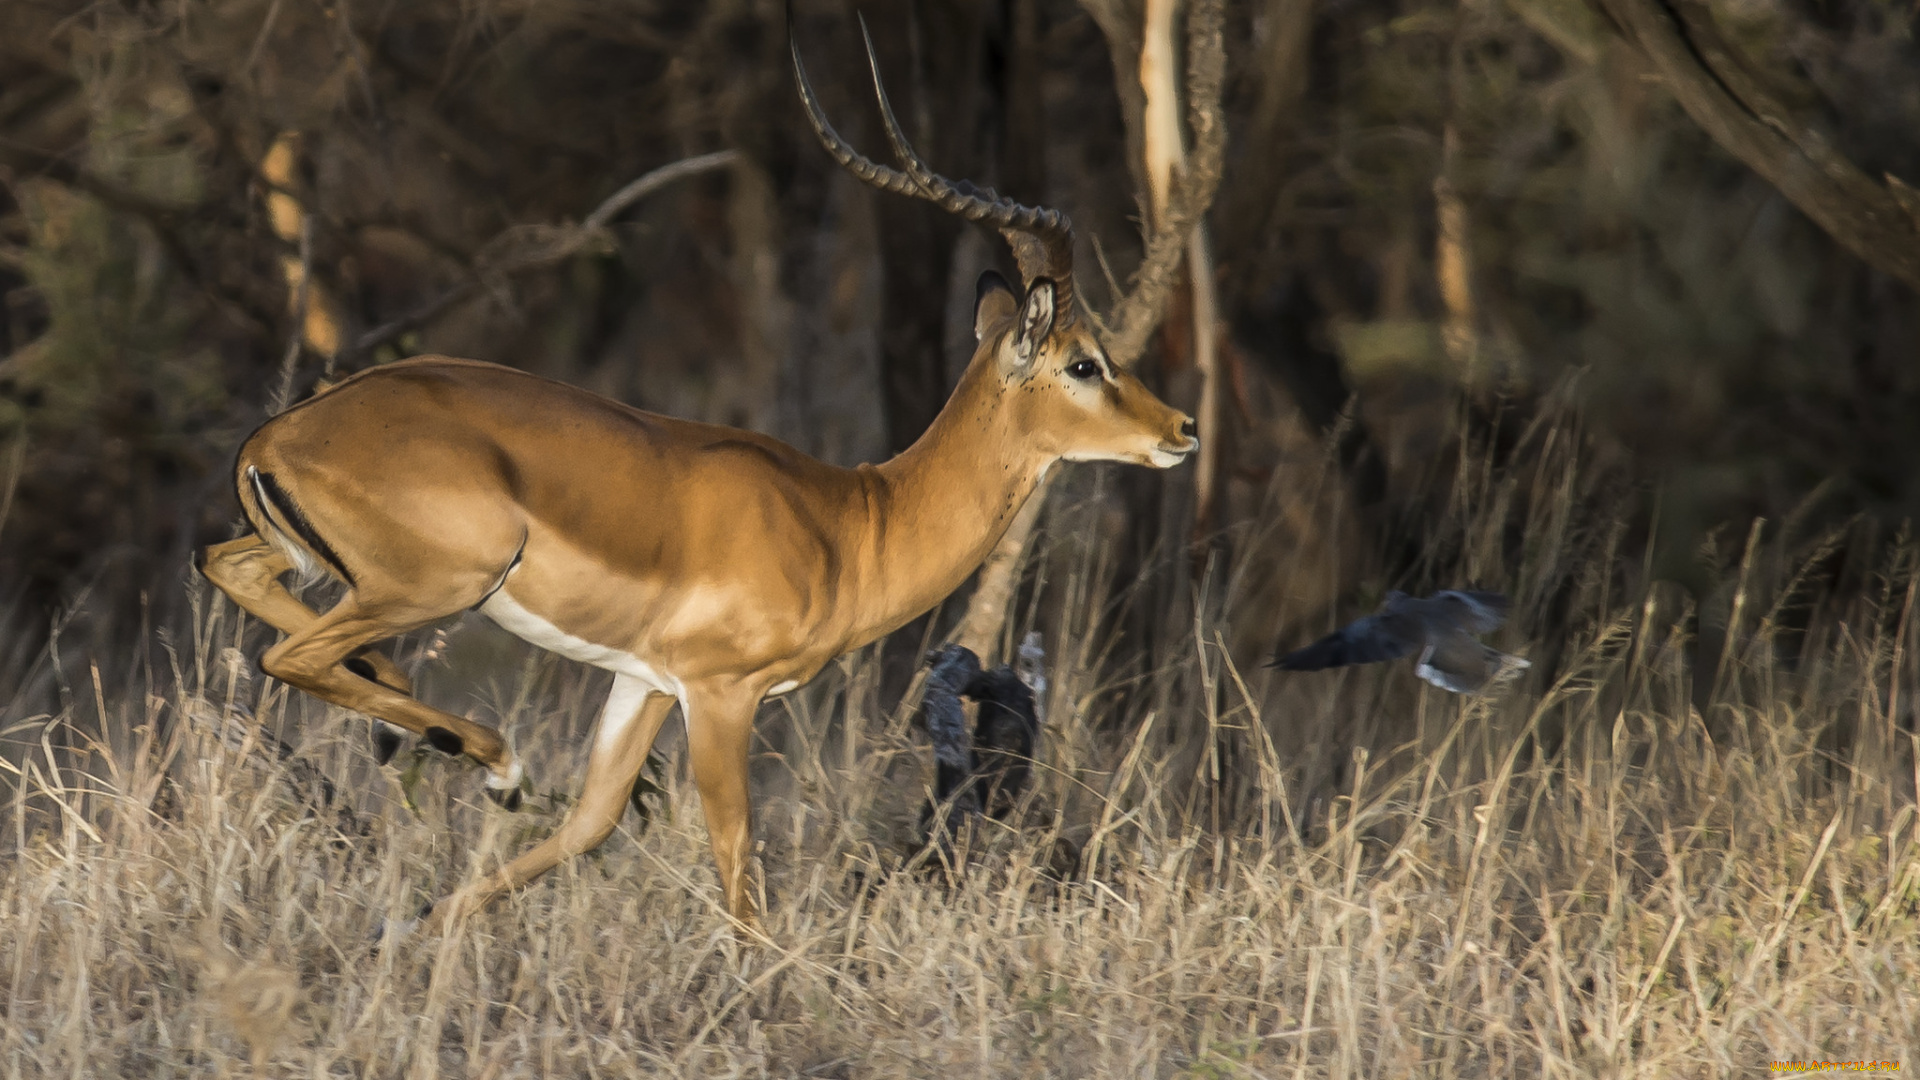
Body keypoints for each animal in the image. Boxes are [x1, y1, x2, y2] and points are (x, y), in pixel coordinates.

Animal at [191, 21, 1182, 930]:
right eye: (1085, 363)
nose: (1182, 428)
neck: (853, 521)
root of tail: (277, 435)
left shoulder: (644, 683)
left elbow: (587, 824)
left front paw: (422, 925)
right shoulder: (720, 694)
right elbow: (739, 864)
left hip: (333, 567)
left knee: (233, 573)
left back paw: (436, 743)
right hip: (445, 579)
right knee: (291, 654)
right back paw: (492, 762)